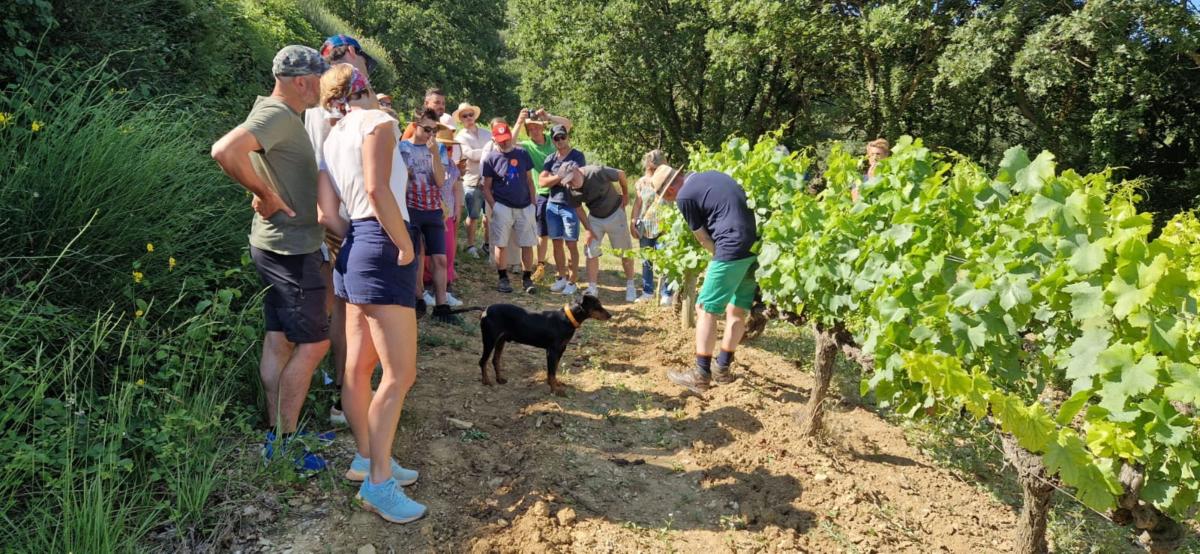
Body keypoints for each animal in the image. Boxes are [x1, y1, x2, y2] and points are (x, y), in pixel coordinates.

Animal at [477, 295, 611, 395]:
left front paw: (554, 384)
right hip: (489, 339)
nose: (611, 315)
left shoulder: (560, 349)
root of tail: (485, 310)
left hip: (501, 340)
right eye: (597, 306)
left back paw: (499, 379)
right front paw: (555, 390)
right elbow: (552, 372)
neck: (567, 319)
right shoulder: (553, 351)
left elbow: (554, 370)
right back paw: (486, 381)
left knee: (495, 360)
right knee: (483, 361)